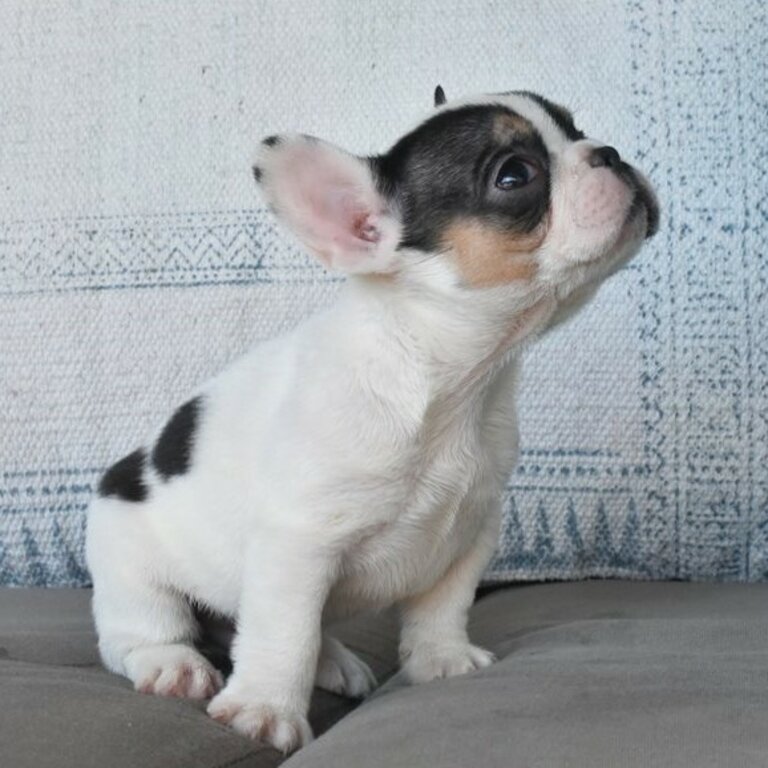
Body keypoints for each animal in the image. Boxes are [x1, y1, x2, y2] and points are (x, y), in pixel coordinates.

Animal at [85, 88, 660, 752]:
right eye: (514, 175)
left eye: (576, 126)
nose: (610, 153)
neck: (451, 382)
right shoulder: (299, 544)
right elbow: (284, 633)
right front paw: (265, 709)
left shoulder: (473, 527)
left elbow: (444, 604)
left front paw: (441, 659)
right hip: (130, 562)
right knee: (142, 631)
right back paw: (173, 664)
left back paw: (333, 659)